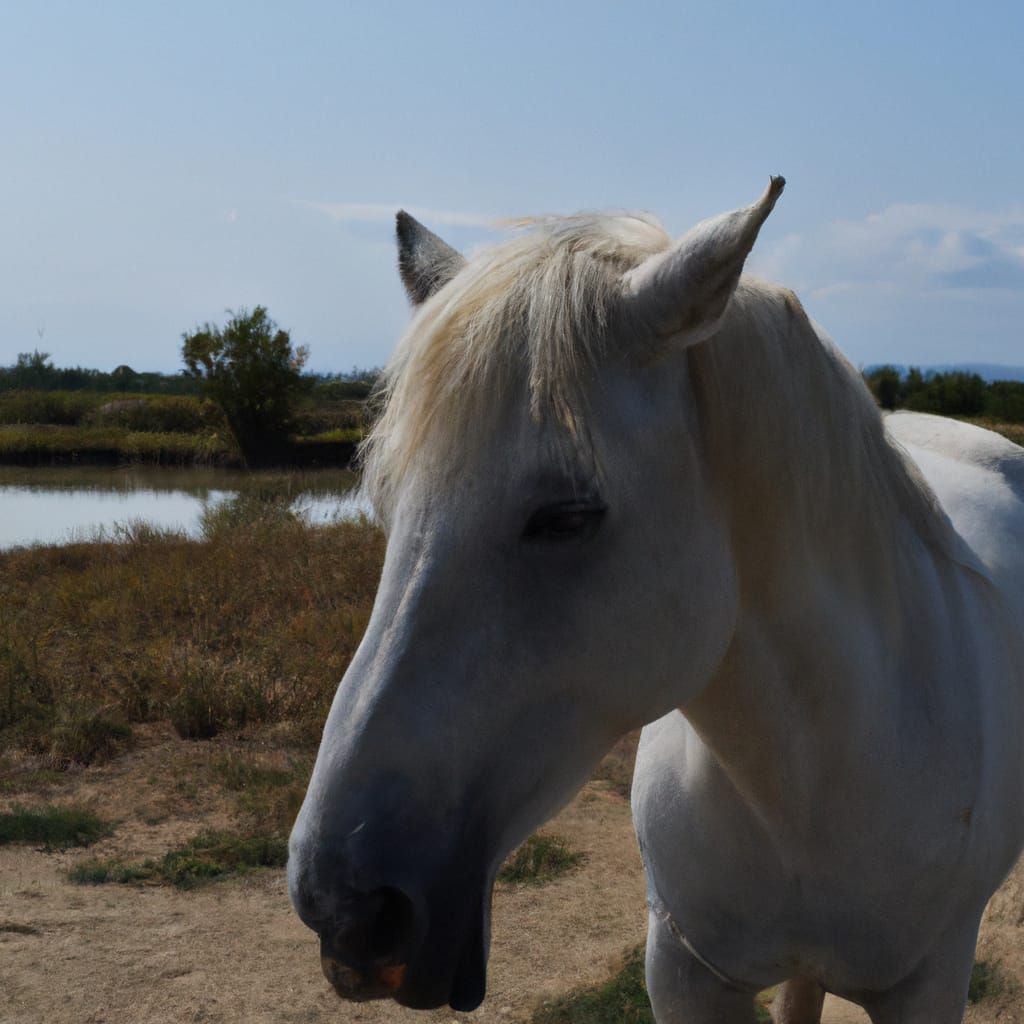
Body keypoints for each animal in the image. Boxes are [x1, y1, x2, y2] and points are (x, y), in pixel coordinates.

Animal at [288, 179, 1024, 1023]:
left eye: (568, 516)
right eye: (383, 502)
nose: (344, 909)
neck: (807, 791)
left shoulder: (928, 986)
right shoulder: (683, 972)